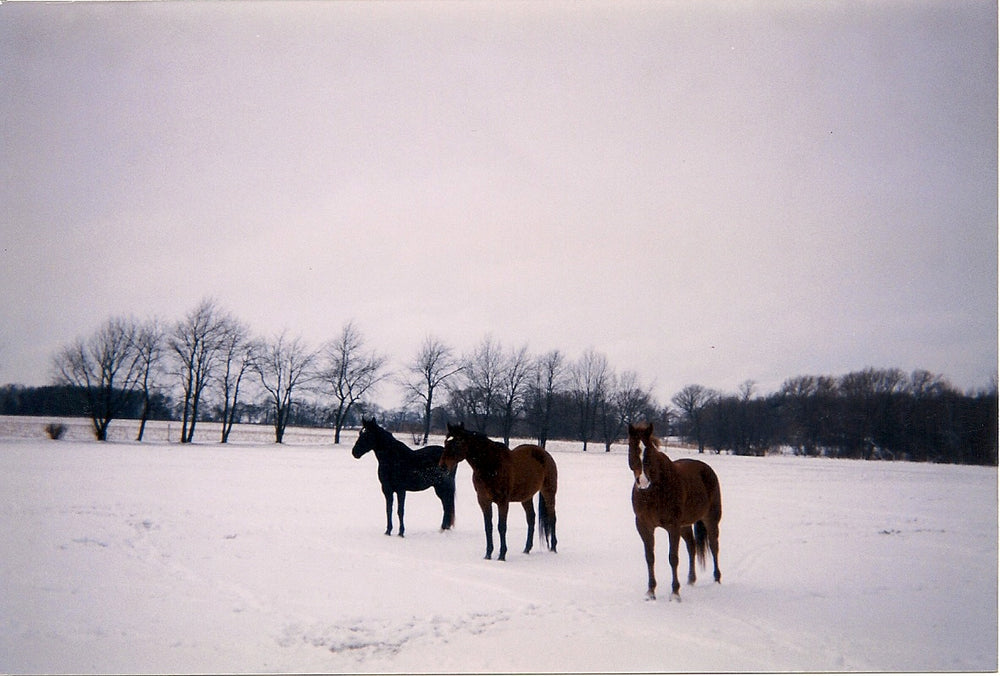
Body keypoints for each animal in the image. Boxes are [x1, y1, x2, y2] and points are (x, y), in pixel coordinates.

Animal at [439, 423, 558, 561]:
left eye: (457, 442)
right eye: (446, 441)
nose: (442, 466)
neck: (490, 465)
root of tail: (545, 454)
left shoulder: (502, 502)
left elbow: (501, 527)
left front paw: (502, 555)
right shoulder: (484, 501)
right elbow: (488, 527)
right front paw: (488, 554)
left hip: (549, 492)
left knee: (552, 517)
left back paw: (553, 548)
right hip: (526, 497)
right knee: (531, 519)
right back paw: (527, 549)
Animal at [628, 422, 722, 601]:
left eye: (649, 452)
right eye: (632, 449)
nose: (642, 482)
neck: (654, 491)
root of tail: (706, 469)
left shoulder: (673, 527)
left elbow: (673, 558)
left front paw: (675, 593)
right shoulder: (644, 526)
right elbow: (650, 558)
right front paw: (650, 592)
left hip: (711, 519)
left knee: (714, 546)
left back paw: (717, 580)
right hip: (685, 525)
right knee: (692, 547)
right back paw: (691, 580)